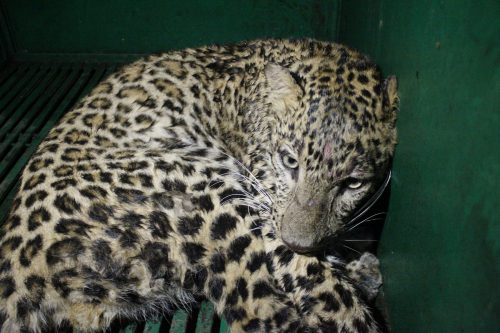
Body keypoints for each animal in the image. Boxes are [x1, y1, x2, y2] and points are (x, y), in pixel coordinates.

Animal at [0, 39, 398, 332]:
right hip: (215, 195)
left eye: (354, 183)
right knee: (259, 311)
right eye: (289, 162)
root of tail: (16, 270)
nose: (298, 243)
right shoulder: (265, 205)